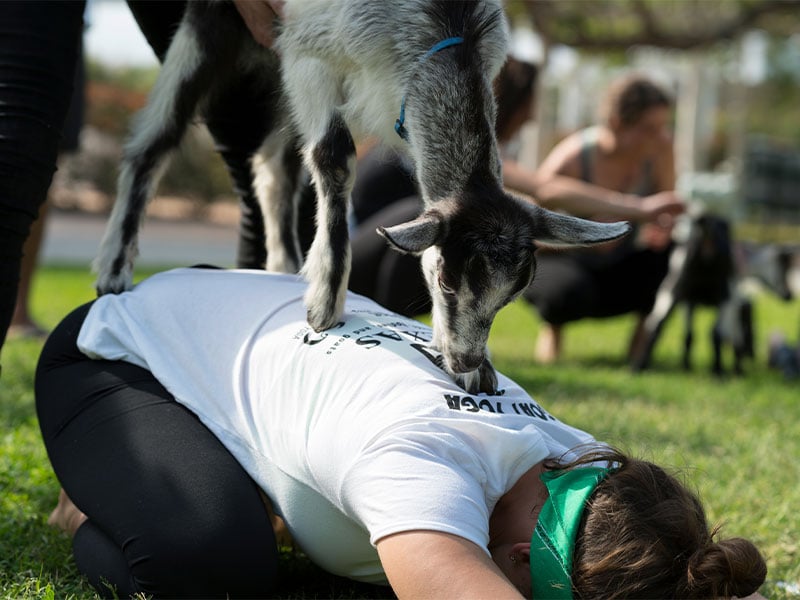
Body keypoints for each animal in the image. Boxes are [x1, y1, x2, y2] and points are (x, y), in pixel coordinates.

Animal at [93, 0, 630, 394]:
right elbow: (333, 154)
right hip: (213, 28)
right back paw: (114, 271)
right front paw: (325, 305)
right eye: (448, 281)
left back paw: (284, 267)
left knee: (273, 168)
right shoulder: (312, 52)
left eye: (512, 295)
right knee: (154, 141)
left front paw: (479, 370)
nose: (464, 359)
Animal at [631, 212, 794, 374]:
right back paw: (718, 371)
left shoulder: (689, 302)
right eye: (784, 269)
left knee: (655, 325)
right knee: (716, 333)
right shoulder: (733, 301)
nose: (789, 296)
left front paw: (686, 366)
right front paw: (738, 369)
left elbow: (689, 335)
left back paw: (639, 366)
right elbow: (736, 336)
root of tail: (706, 226)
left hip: (670, 290)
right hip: (723, 296)